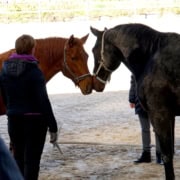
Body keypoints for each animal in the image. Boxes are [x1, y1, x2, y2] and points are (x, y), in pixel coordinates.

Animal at [90, 23, 180, 179]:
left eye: (94, 50)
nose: (95, 83)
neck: (151, 57)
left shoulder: (160, 115)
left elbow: (167, 155)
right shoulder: (170, 116)